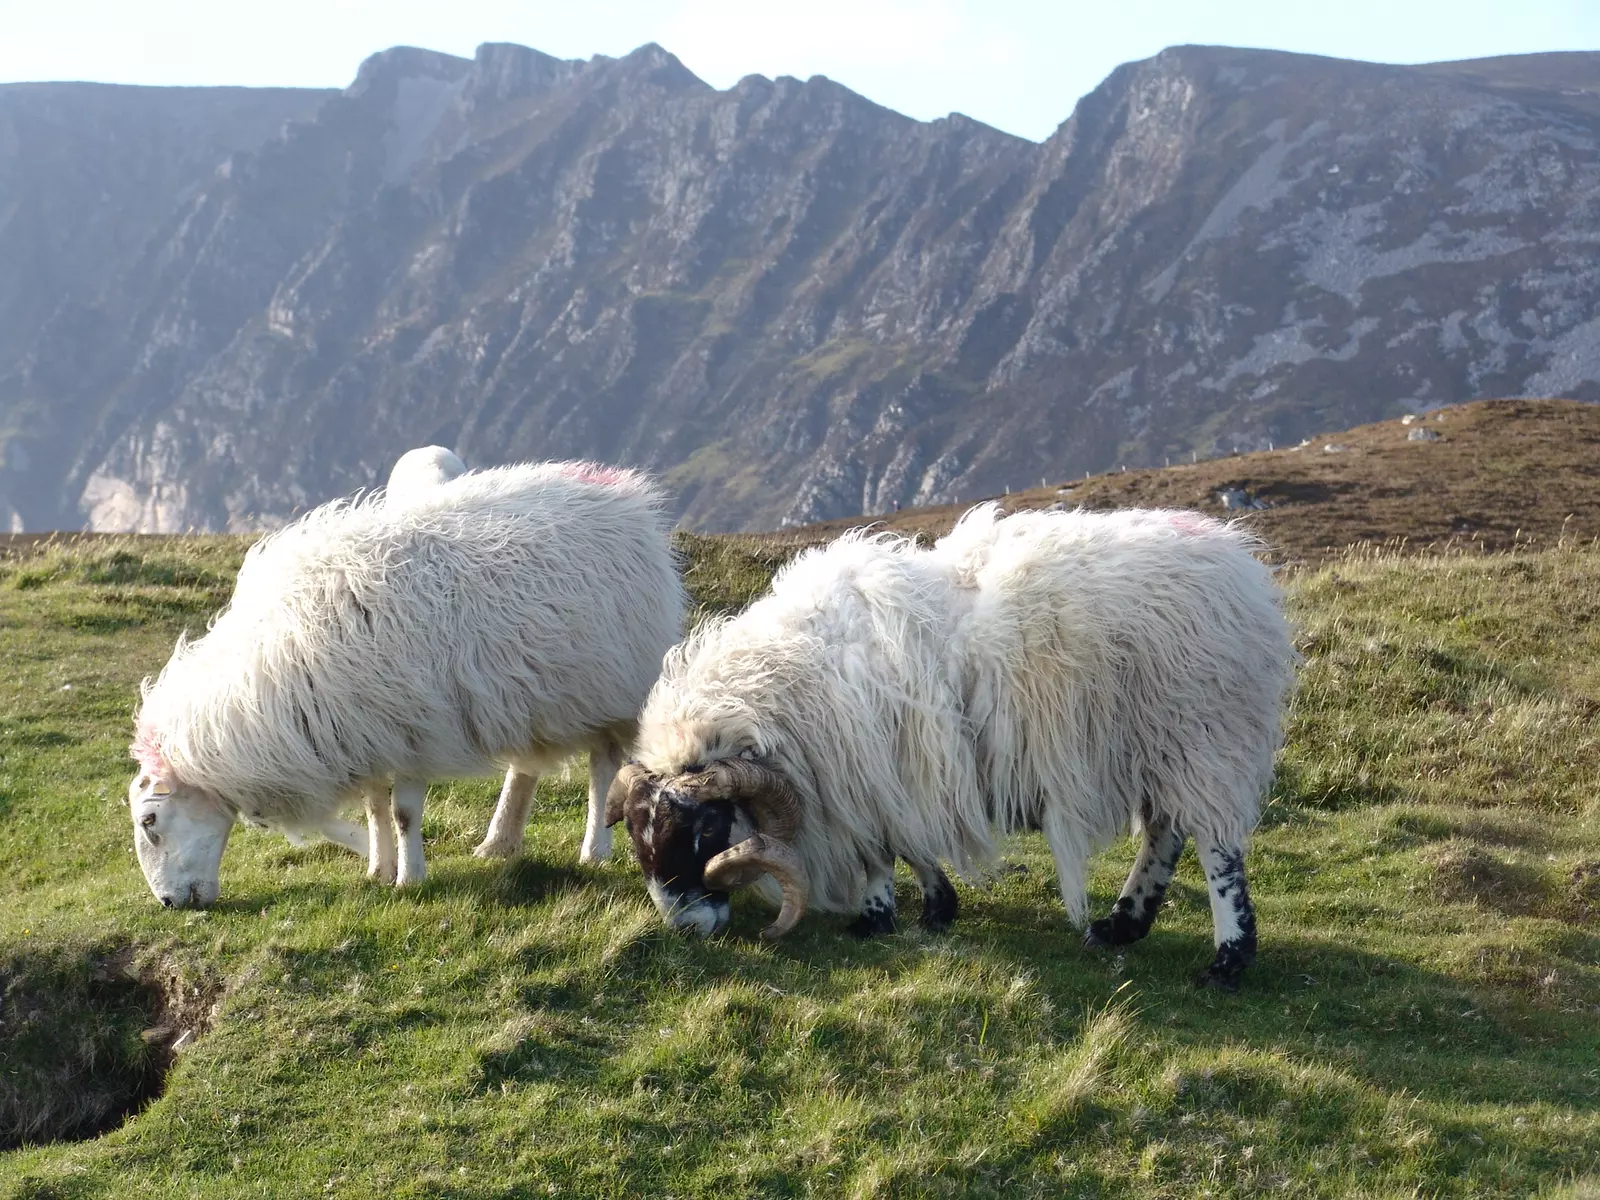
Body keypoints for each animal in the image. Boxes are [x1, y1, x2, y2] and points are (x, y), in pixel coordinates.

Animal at [127, 460, 686, 908]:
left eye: (149, 823)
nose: (169, 904)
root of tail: (623, 493)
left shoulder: (413, 725)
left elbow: (402, 813)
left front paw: (410, 879)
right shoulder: (364, 731)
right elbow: (375, 806)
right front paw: (378, 869)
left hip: (610, 686)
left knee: (601, 768)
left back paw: (593, 849)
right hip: (531, 691)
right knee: (524, 767)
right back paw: (499, 842)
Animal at [608, 505, 1295, 989]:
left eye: (706, 828)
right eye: (637, 831)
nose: (687, 925)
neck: (779, 688)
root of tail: (1243, 573)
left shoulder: (868, 770)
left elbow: (880, 850)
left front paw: (876, 917)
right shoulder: (899, 772)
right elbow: (912, 843)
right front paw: (937, 905)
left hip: (1203, 737)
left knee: (1216, 849)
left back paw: (1228, 959)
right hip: (1162, 749)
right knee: (1164, 831)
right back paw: (1122, 925)